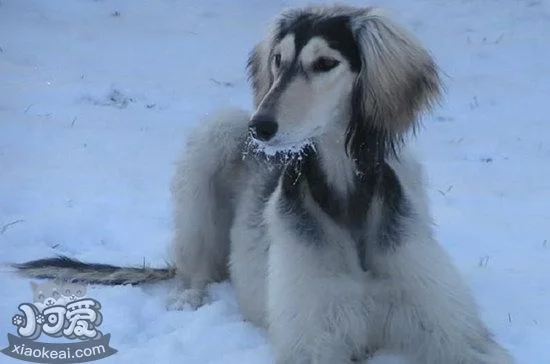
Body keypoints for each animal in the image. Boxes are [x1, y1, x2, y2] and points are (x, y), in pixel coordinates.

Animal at [11, 3, 516, 364]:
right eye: (278, 60)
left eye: (325, 63)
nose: (261, 128)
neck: (346, 200)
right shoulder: (312, 338)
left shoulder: (458, 331)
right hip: (214, 136)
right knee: (195, 263)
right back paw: (188, 295)